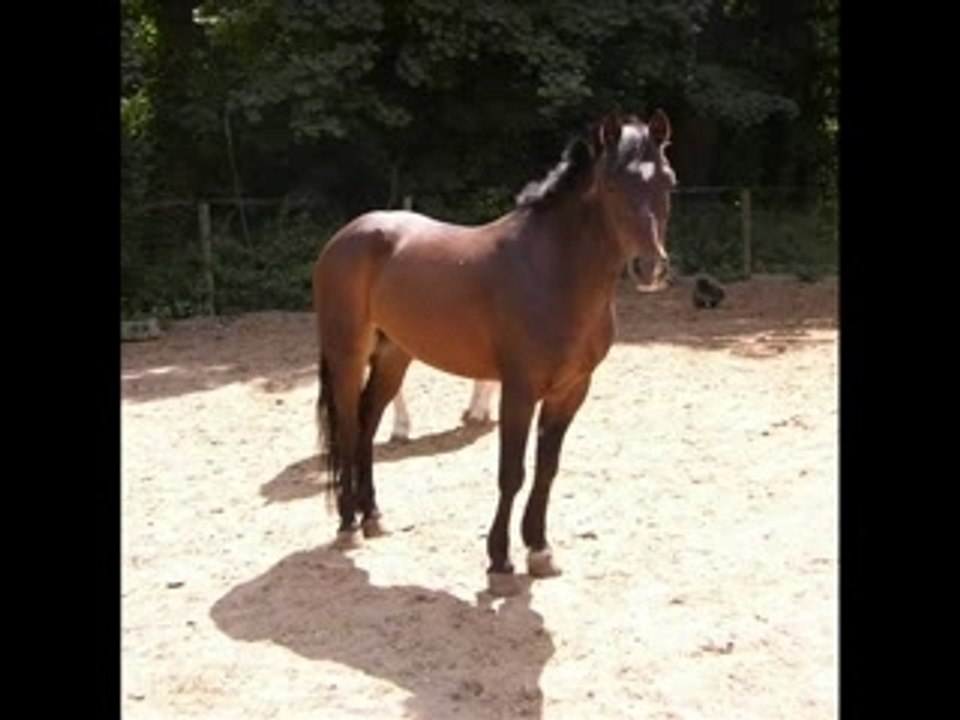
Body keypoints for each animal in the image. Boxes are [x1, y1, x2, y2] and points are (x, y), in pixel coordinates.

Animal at [313, 111, 676, 596]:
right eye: (613, 187)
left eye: (669, 183)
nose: (650, 268)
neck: (551, 271)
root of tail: (347, 235)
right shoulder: (519, 390)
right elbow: (512, 472)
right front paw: (500, 561)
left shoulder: (571, 391)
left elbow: (546, 468)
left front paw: (539, 550)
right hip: (347, 356)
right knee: (352, 428)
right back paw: (349, 525)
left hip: (394, 357)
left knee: (369, 424)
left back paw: (372, 517)